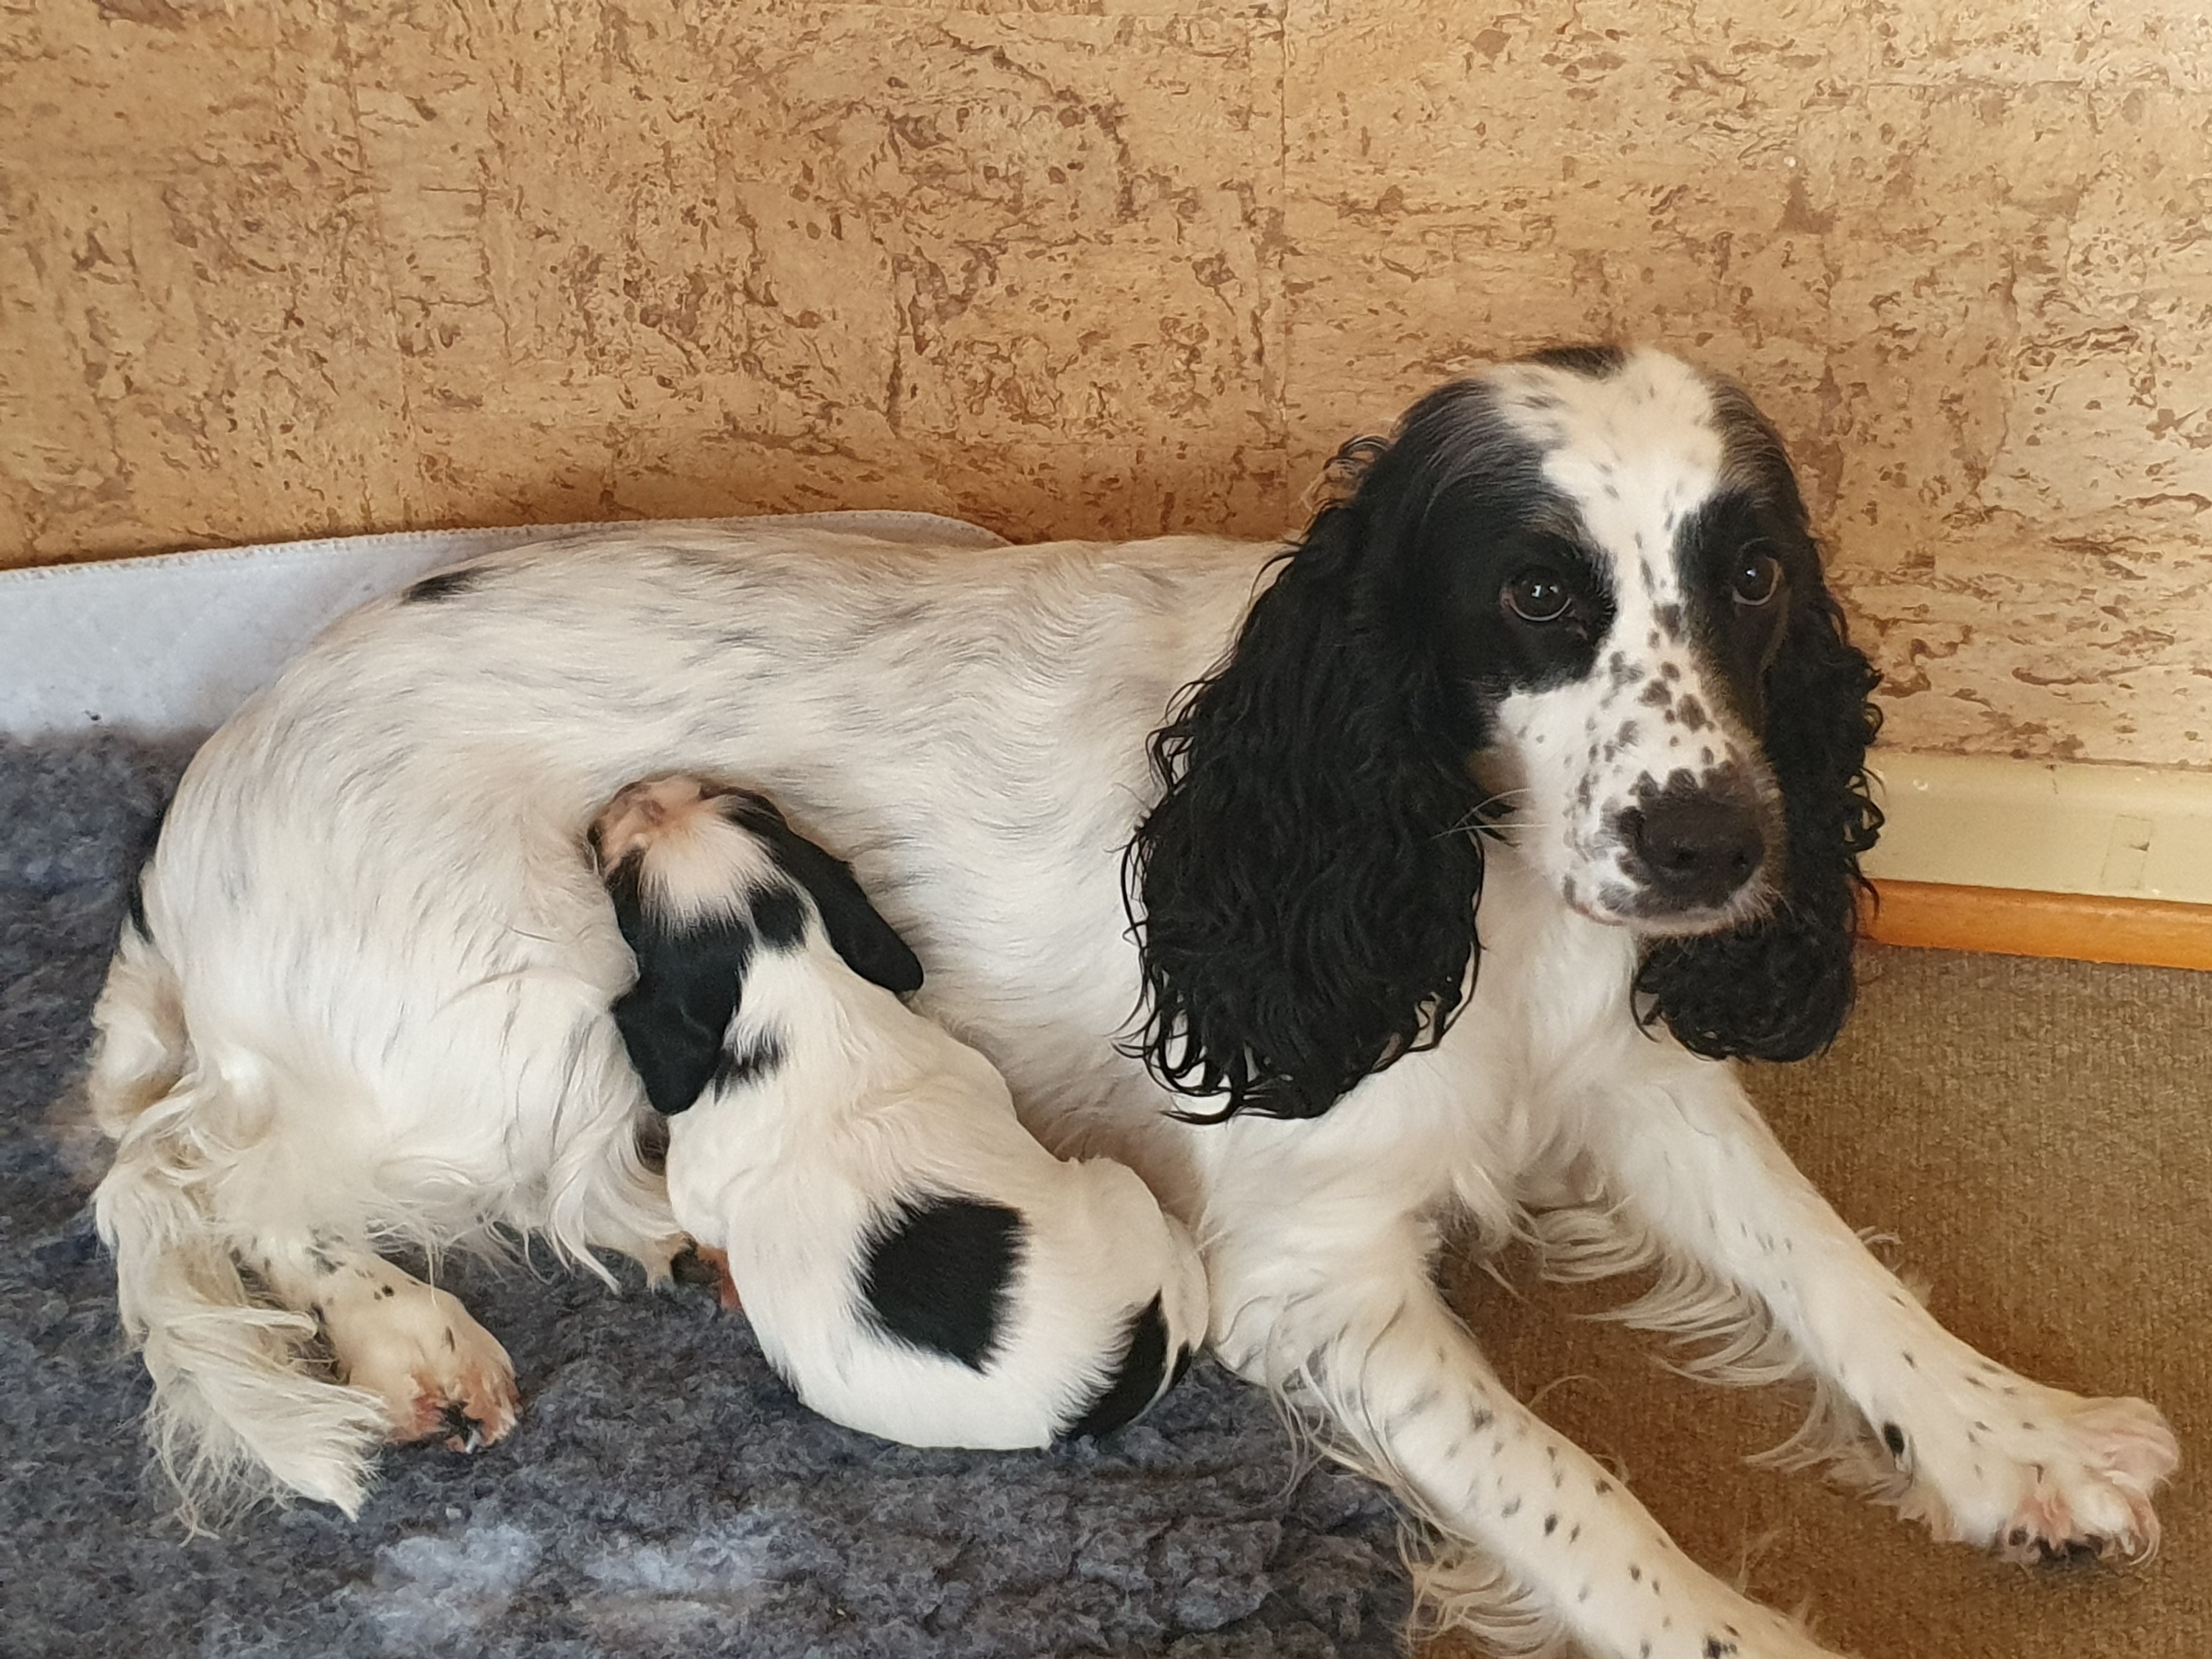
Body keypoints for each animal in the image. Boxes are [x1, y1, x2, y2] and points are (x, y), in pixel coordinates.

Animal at [590, 773, 1205, 1448]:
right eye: (736, 799)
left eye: (623, 885)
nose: (634, 787)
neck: (790, 978)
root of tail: (1120, 1375)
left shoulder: (695, 1188)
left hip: (1114, 1180)